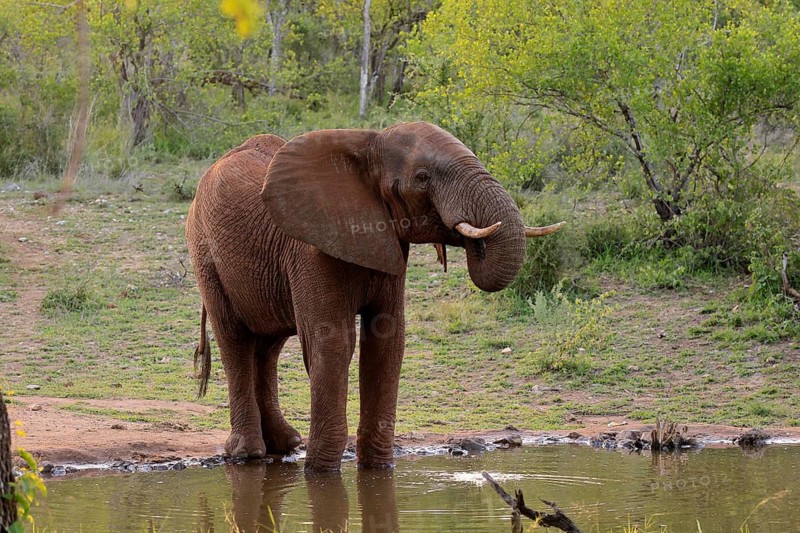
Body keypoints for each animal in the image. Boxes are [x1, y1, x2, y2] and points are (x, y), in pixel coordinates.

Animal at [185, 121, 564, 472]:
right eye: (422, 177)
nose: (477, 240)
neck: (368, 144)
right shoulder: (310, 250)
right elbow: (333, 343)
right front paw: (320, 472)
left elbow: (387, 342)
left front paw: (378, 469)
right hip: (205, 252)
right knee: (235, 340)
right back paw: (247, 453)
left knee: (268, 346)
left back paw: (286, 444)